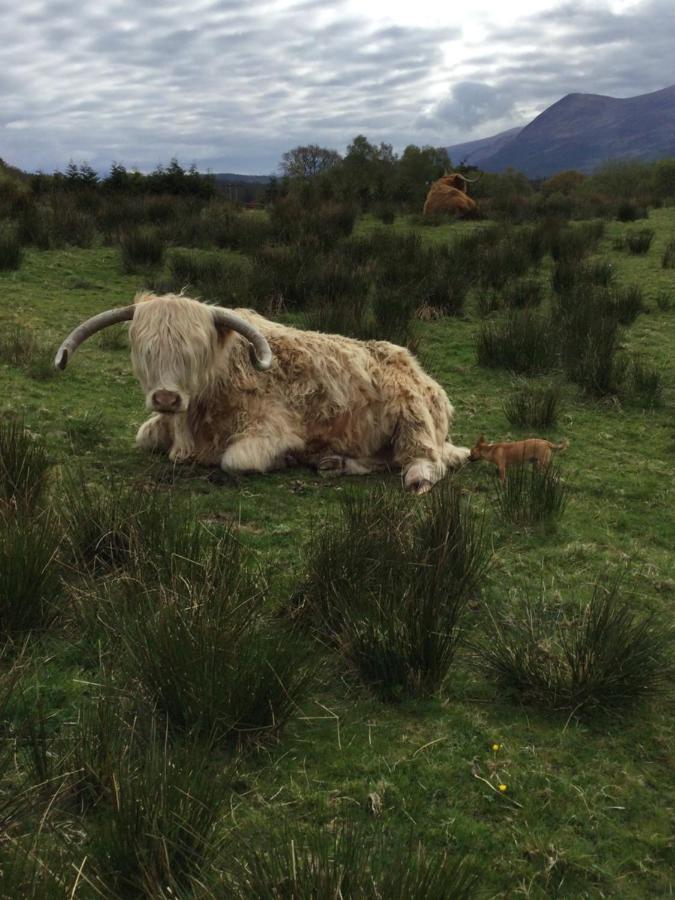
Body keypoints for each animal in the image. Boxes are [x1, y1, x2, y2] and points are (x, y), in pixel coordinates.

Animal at [55, 294, 470, 492]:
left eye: (194, 351)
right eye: (145, 350)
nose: (166, 399)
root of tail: (421, 372)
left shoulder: (268, 429)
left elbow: (234, 459)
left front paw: (286, 458)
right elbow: (145, 436)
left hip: (413, 419)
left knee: (427, 461)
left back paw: (415, 480)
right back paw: (334, 463)